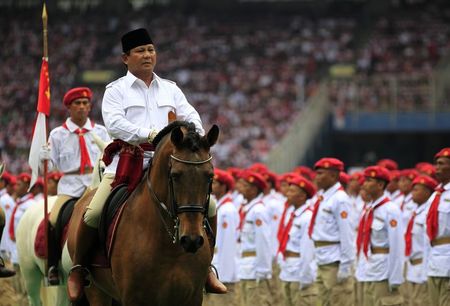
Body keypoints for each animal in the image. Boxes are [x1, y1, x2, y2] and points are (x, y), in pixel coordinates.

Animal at [67, 120, 220, 304]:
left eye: (210, 176)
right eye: (175, 175)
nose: (192, 240)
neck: (170, 247)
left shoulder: (193, 298)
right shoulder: (134, 298)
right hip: (96, 291)